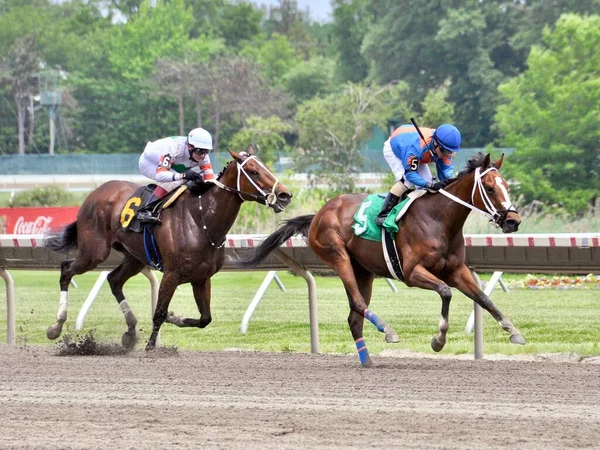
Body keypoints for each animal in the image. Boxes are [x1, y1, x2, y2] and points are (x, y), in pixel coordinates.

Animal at [44, 146, 290, 350]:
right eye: (253, 171)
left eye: (265, 167)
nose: (285, 195)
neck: (201, 221)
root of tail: (94, 193)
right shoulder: (171, 275)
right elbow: (159, 313)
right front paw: (151, 346)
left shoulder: (201, 278)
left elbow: (205, 318)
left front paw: (175, 317)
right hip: (94, 252)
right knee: (66, 269)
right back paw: (56, 326)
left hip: (134, 257)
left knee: (113, 280)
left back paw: (130, 332)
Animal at [236, 154, 524, 366]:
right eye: (489, 188)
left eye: (507, 186)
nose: (513, 221)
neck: (438, 219)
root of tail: (318, 213)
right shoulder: (412, 273)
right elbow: (445, 292)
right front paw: (438, 340)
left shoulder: (456, 270)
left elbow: (484, 298)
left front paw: (513, 331)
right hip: (338, 256)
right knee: (357, 302)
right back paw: (388, 330)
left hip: (363, 271)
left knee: (354, 318)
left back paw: (367, 360)